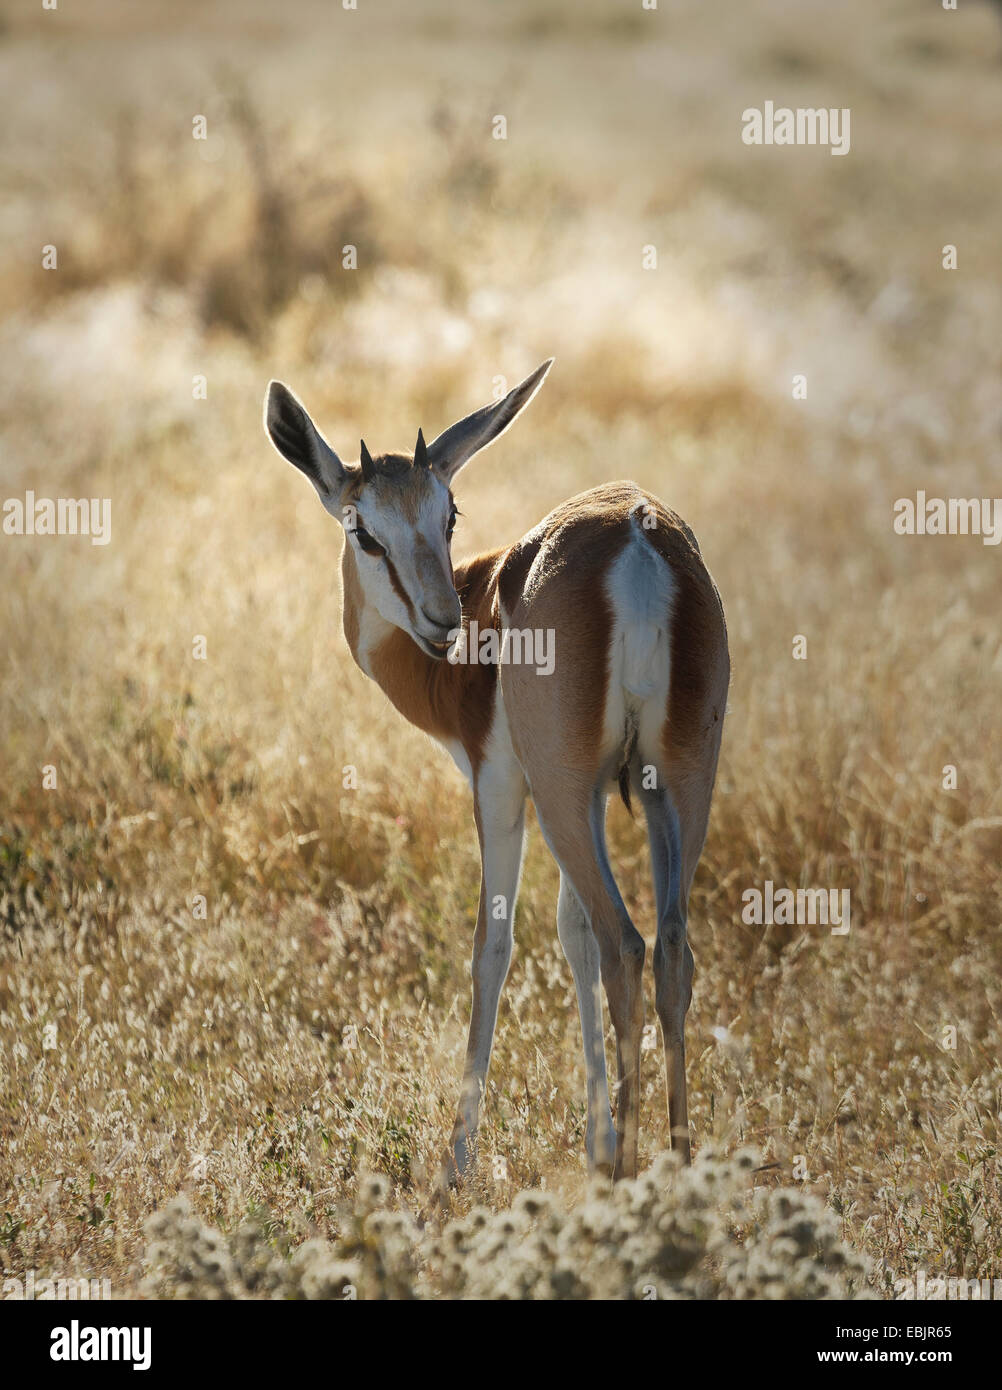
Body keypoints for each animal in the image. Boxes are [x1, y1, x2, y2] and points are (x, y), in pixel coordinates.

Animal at [264, 364, 728, 1178]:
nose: (442, 619)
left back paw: (627, 1175)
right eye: (364, 527)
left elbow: (495, 944)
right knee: (671, 947)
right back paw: (671, 1166)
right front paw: (592, 1139)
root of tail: (638, 541)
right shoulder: (596, 794)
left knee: (626, 944)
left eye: (447, 514)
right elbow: (571, 933)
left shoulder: (503, 783)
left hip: (567, 795)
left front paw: (456, 1164)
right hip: (674, 783)